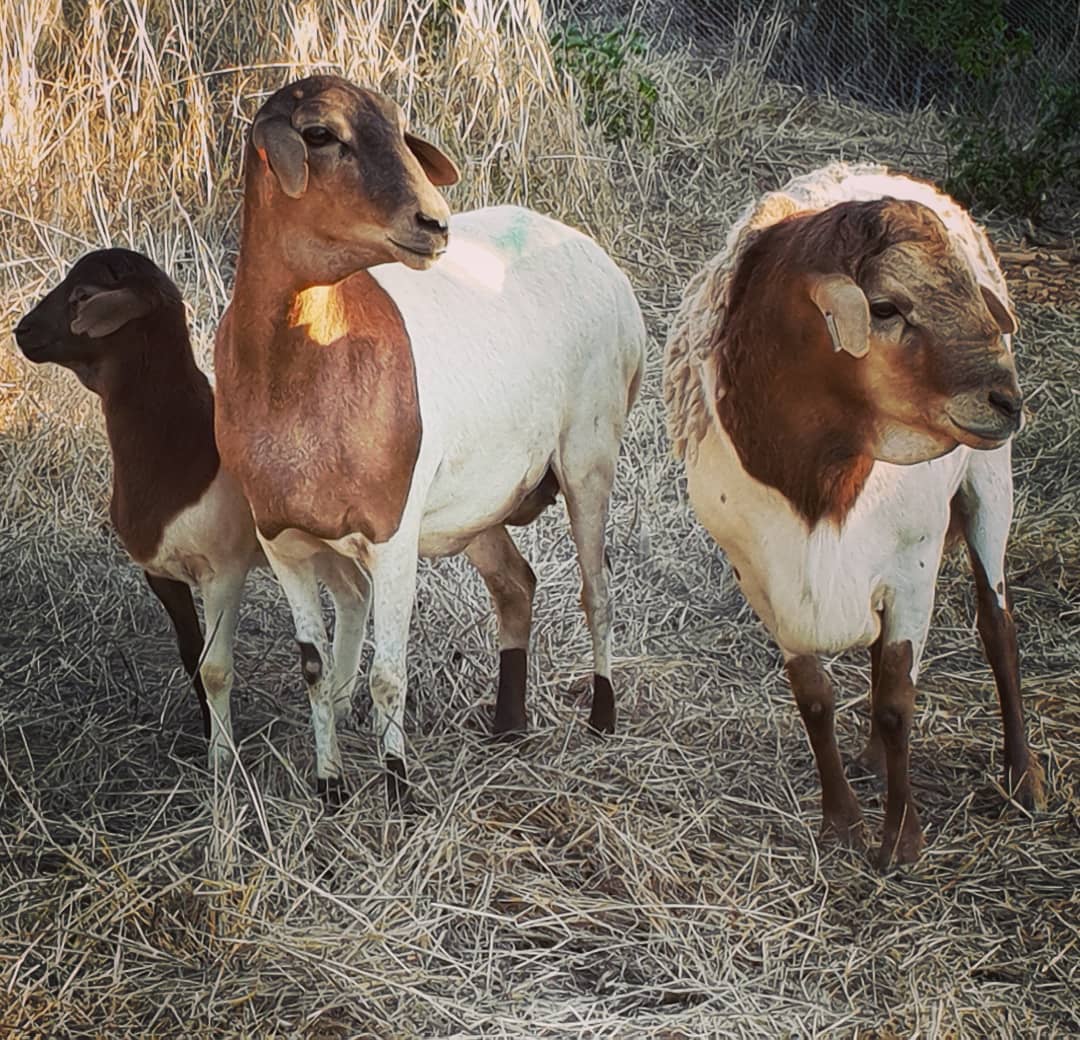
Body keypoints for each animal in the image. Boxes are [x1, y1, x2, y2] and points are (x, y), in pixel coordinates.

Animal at [13, 249, 264, 768]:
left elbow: (216, 667)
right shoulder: (160, 572)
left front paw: (222, 759)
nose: (22, 331)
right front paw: (206, 733)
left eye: (83, 295)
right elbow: (191, 655)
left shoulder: (224, 571)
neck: (183, 448)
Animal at [213, 75, 646, 803]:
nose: (435, 222)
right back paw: (508, 724)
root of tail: (598, 258)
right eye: (320, 134)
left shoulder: (393, 533)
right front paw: (330, 784)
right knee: (517, 584)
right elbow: (314, 669)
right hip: (482, 502)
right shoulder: (282, 541)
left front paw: (397, 786)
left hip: (589, 451)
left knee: (600, 588)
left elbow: (388, 673)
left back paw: (603, 718)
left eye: (397, 125)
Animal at [663, 162, 1045, 868]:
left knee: (997, 626)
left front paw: (901, 841)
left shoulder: (913, 567)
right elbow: (815, 698)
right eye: (886, 308)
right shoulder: (764, 577)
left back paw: (1024, 775)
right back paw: (870, 758)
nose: (1007, 401)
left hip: (988, 484)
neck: (821, 477)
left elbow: (898, 703)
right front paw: (841, 824)